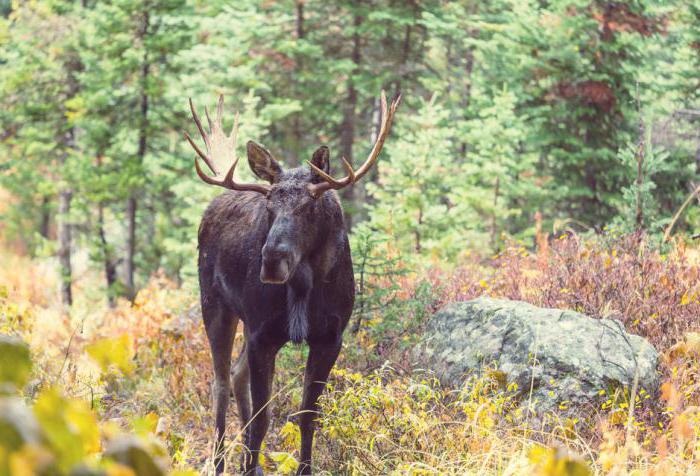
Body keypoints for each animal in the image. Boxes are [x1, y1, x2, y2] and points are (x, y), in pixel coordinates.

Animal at [183, 91, 402, 474]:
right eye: (269, 205)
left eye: (310, 205)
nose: (271, 260)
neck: (303, 288)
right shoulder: (262, 334)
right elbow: (263, 418)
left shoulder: (330, 337)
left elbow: (307, 415)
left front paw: (300, 467)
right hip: (215, 305)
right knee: (220, 384)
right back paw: (221, 463)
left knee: (236, 375)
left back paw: (249, 463)